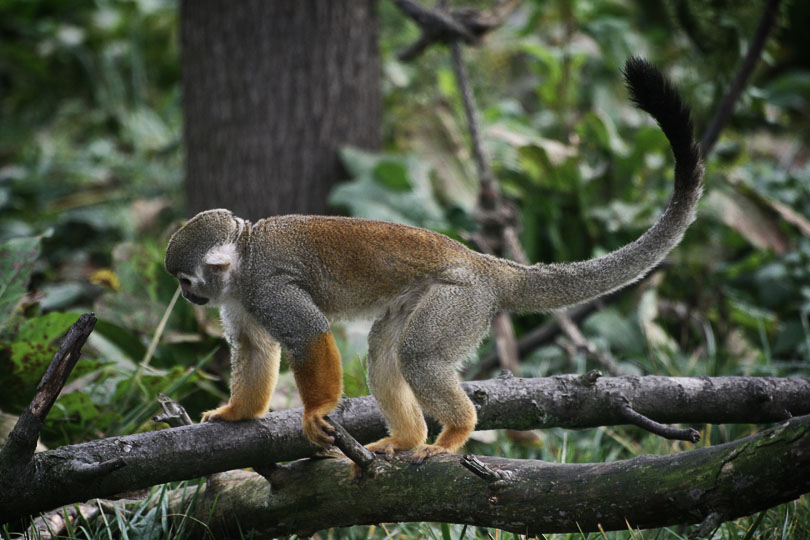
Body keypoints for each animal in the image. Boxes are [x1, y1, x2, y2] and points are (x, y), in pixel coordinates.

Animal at [164, 58, 700, 460]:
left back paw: (457, 431)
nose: (187, 298)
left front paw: (316, 412)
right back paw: (407, 437)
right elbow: (255, 347)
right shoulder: (239, 297)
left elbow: (310, 334)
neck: (243, 258)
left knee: (418, 355)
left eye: (186, 281)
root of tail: (481, 261)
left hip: (461, 298)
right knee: (385, 352)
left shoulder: (266, 286)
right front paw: (237, 412)